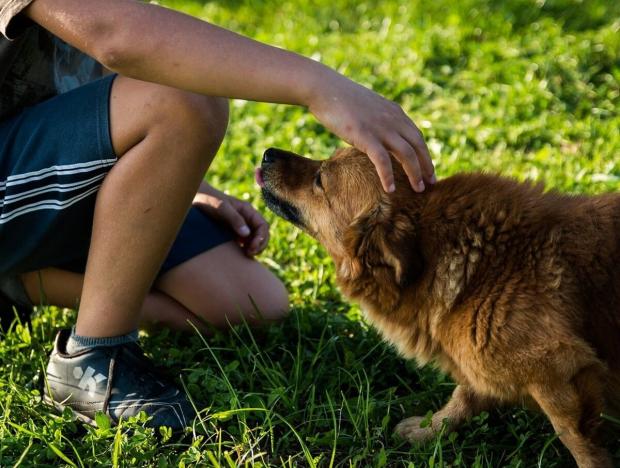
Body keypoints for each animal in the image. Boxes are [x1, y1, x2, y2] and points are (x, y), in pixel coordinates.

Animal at [258, 145, 620, 464]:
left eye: (320, 179)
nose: (267, 153)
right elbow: (462, 398)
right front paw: (428, 430)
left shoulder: (559, 371)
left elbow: (577, 441)